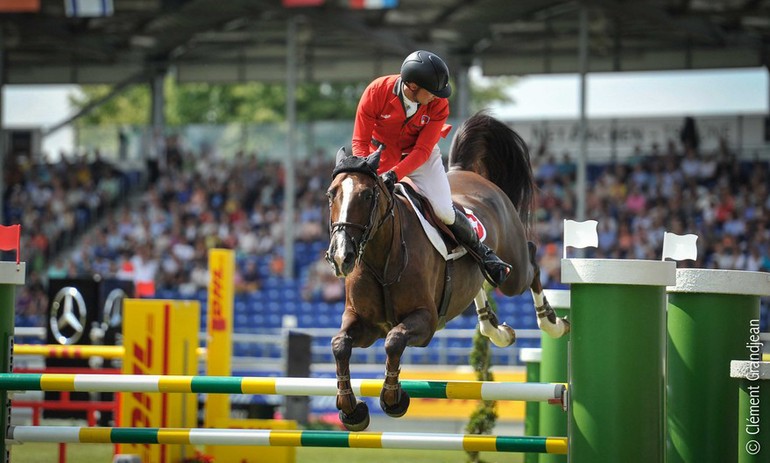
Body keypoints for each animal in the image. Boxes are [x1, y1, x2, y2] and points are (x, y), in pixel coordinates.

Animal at [320, 111, 568, 432]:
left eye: (366, 195)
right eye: (331, 194)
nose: (341, 256)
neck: (382, 259)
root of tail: (471, 175)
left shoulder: (424, 322)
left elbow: (394, 341)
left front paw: (393, 399)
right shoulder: (364, 323)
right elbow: (340, 345)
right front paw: (351, 410)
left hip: (514, 273)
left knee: (531, 262)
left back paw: (552, 322)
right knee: (480, 284)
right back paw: (496, 329)